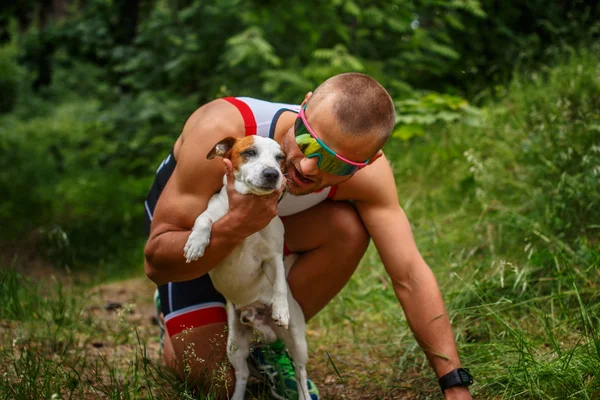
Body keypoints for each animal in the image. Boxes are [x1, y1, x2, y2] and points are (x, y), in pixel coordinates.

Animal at [184, 135, 312, 400]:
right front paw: (196, 243)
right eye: (249, 152)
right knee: (242, 374)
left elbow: (280, 283)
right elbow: (203, 221)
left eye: (280, 158)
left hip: (297, 341)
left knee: (300, 371)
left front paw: (280, 308)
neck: (251, 201)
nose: (272, 173)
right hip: (234, 345)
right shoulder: (215, 217)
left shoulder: (273, 256)